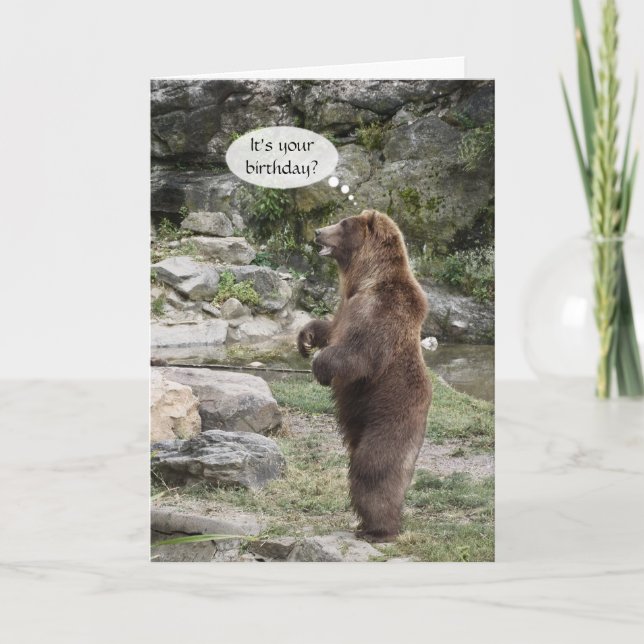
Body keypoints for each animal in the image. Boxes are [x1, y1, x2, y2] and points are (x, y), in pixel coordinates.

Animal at [297, 209, 431, 542]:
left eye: (343, 224)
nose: (317, 231)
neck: (365, 278)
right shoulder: (345, 306)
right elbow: (331, 328)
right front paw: (306, 338)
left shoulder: (382, 310)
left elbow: (359, 354)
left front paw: (320, 367)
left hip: (391, 417)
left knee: (373, 467)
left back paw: (379, 528)